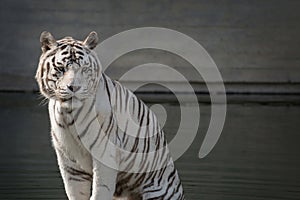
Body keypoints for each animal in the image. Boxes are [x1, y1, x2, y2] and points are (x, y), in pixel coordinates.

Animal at [35, 31, 185, 200]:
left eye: (84, 69)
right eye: (60, 68)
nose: (74, 87)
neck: (68, 113)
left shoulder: (105, 152)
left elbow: (100, 191)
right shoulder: (69, 161)